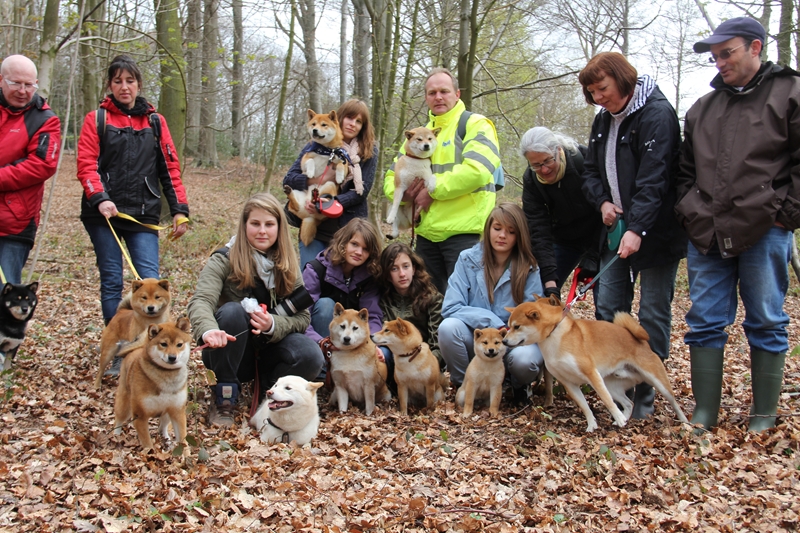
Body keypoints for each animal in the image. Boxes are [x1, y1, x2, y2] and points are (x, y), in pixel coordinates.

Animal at [113, 316, 191, 448]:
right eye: (163, 344)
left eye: (179, 344)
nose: (172, 357)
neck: (167, 375)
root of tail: (135, 350)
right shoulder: (140, 416)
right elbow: (148, 445)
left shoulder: (177, 411)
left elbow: (182, 440)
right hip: (125, 406)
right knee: (118, 420)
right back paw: (115, 435)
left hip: (167, 413)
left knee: (162, 427)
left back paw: (166, 439)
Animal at [506, 296, 688, 432]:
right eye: (509, 326)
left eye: (517, 327)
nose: (504, 341)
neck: (555, 334)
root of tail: (640, 340)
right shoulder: (568, 382)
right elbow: (585, 406)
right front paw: (592, 425)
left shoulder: (591, 374)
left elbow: (606, 400)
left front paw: (617, 416)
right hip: (612, 385)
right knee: (629, 403)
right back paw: (624, 416)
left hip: (656, 381)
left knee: (673, 402)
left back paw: (685, 422)